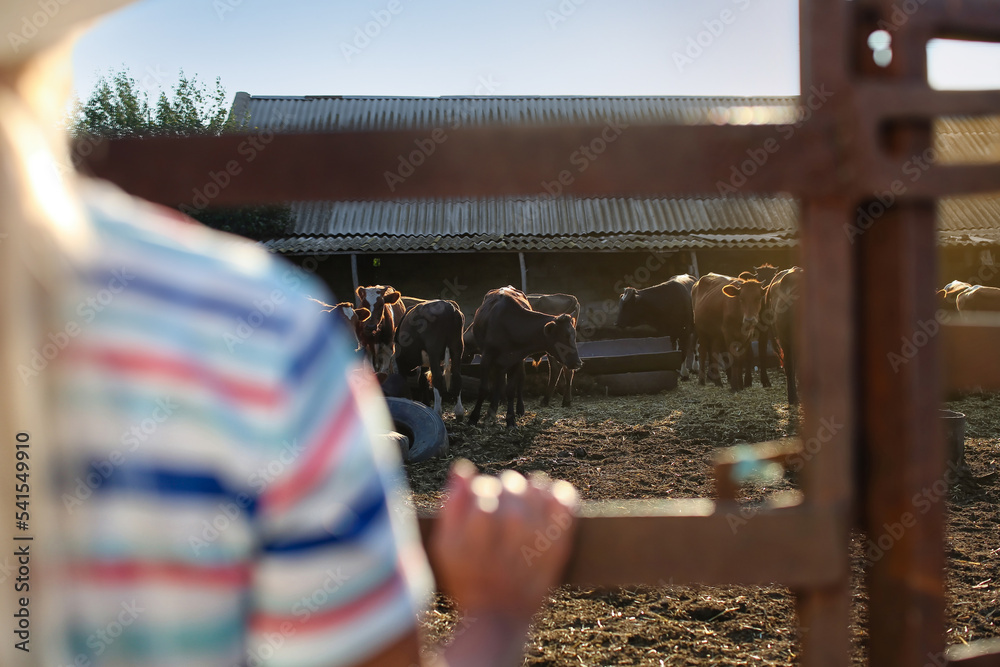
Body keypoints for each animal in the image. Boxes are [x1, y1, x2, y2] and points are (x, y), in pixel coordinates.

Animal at [470, 288, 584, 428]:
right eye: (563, 337)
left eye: (573, 336)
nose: (578, 363)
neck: (509, 324)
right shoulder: (487, 357)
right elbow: (484, 388)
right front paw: (474, 417)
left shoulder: (516, 359)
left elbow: (510, 390)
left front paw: (511, 420)